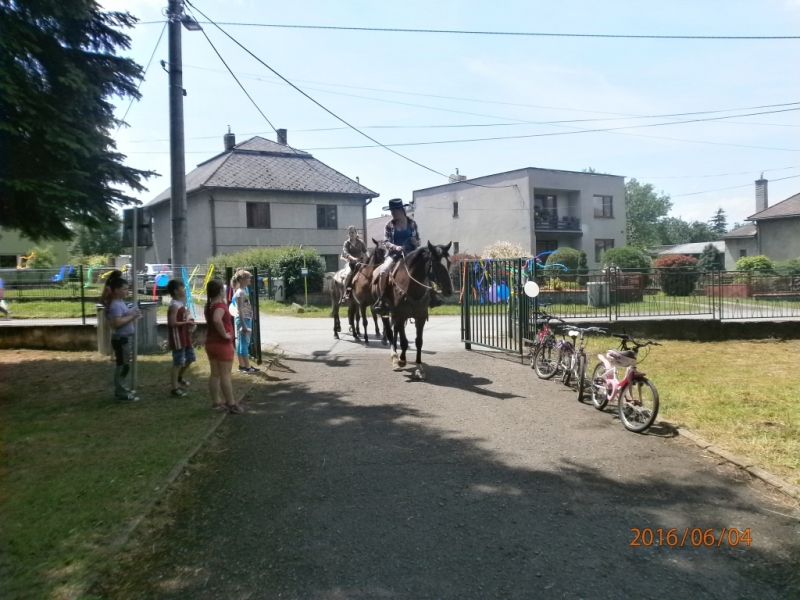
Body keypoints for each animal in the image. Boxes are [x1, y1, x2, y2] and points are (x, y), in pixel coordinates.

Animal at [380, 240, 450, 378]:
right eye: (435, 264)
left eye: (448, 263)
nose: (449, 290)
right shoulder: (401, 316)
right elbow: (404, 341)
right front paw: (401, 360)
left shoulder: (420, 317)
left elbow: (419, 341)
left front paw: (419, 368)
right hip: (386, 313)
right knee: (390, 333)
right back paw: (395, 358)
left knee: (395, 332)